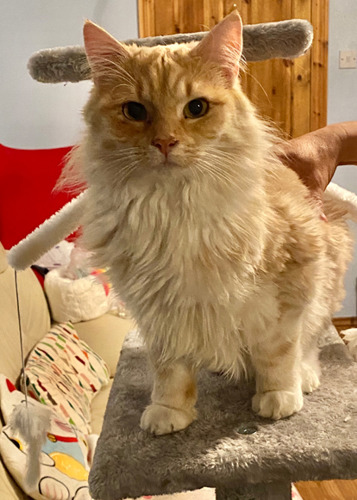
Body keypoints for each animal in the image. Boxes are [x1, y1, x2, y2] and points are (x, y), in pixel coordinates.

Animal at [62, 10, 354, 434]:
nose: (165, 142)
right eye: (135, 111)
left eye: (196, 108)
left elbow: (279, 352)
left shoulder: (288, 289)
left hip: (324, 282)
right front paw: (169, 412)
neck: (174, 208)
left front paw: (278, 397)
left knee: (310, 343)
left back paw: (305, 378)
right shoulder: (160, 311)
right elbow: (170, 371)